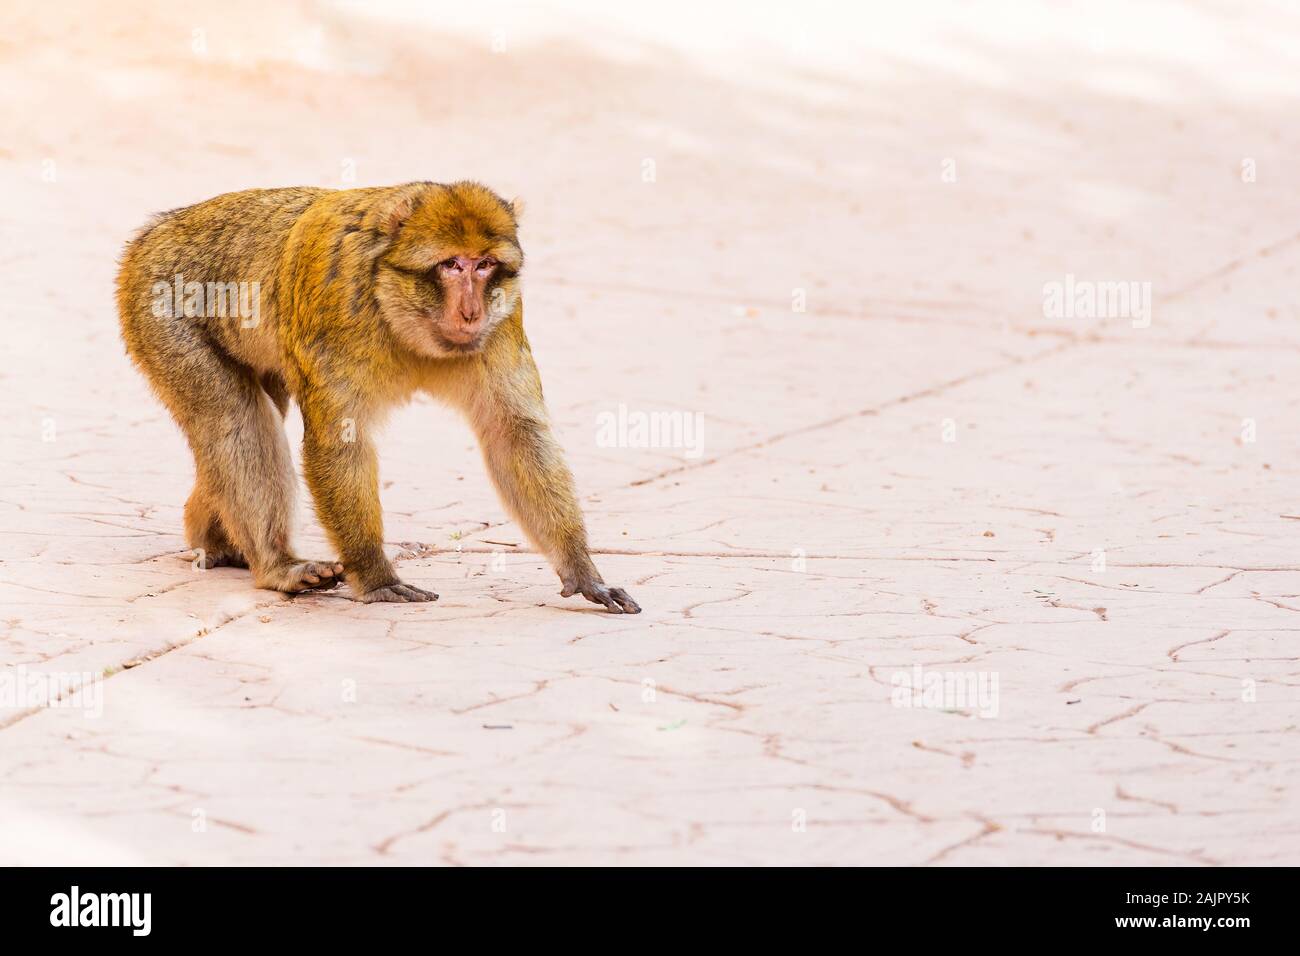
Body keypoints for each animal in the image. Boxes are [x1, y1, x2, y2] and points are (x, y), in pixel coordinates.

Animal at [115, 181, 640, 613]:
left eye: (485, 265)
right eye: (452, 265)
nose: (471, 312)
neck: (398, 305)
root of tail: (156, 229)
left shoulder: (503, 321)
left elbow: (514, 434)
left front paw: (581, 569)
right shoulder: (336, 306)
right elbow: (338, 440)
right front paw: (374, 574)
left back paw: (213, 537)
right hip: (157, 300)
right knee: (234, 418)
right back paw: (275, 564)